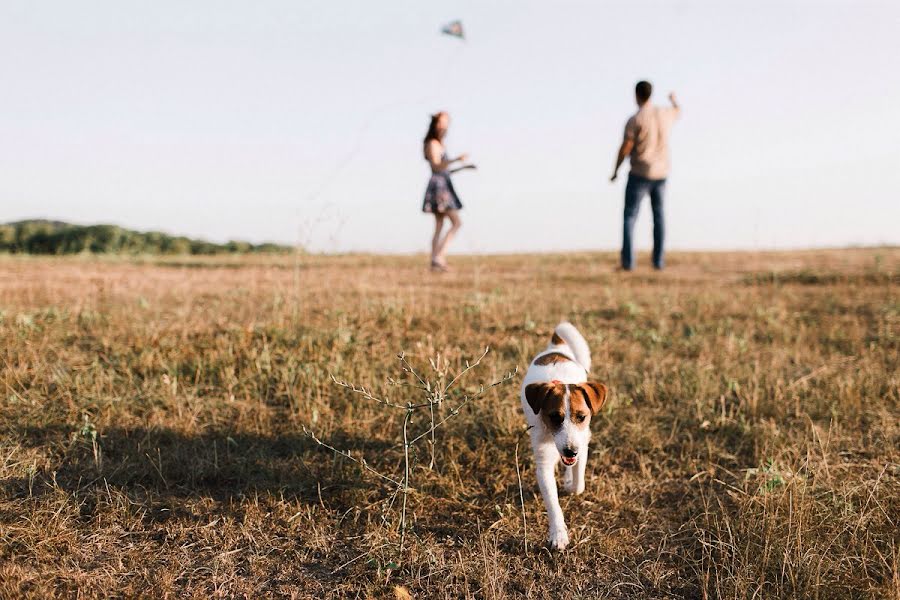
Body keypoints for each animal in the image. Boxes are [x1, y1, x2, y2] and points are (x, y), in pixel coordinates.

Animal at [520, 322, 612, 552]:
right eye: (555, 417)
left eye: (582, 417)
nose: (570, 450)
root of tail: (556, 347)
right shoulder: (543, 461)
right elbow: (553, 503)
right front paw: (558, 534)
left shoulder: (582, 443)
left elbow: (579, 484)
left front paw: (570, 484)